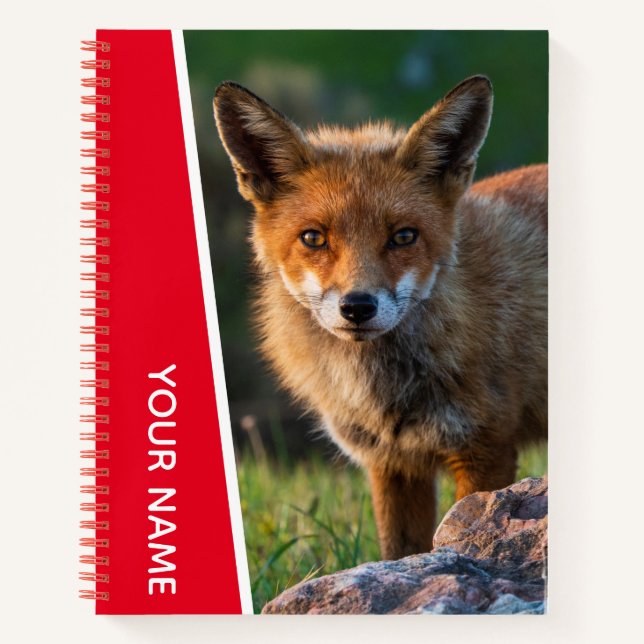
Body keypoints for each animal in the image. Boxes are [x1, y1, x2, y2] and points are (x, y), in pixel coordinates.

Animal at [213, 75, 547, 560]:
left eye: (403, 236)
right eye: (313, 238)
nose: (357, 306)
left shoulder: (485, 448)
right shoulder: (391, 462)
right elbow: (400, 551)